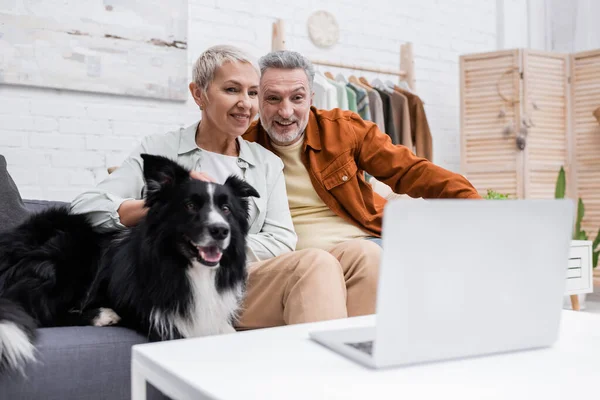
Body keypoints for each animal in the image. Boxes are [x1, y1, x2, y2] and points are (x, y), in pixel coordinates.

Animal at [0, 155, 255, 374]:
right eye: (190, 205)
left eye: (226, 209)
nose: (221, 231)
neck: (186, 266)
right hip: (69, 250)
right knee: (40, 312)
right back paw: (102, 315)